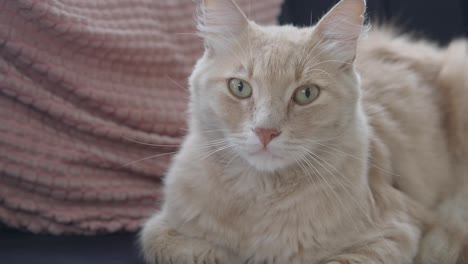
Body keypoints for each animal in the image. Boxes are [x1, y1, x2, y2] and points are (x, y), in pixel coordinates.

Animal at [140, 0, 468, 262]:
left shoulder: (393, 233)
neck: (260, 198)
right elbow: (185, 247)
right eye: (240, 88)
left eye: (306, 94)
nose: (265, 132)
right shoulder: (162, 227)